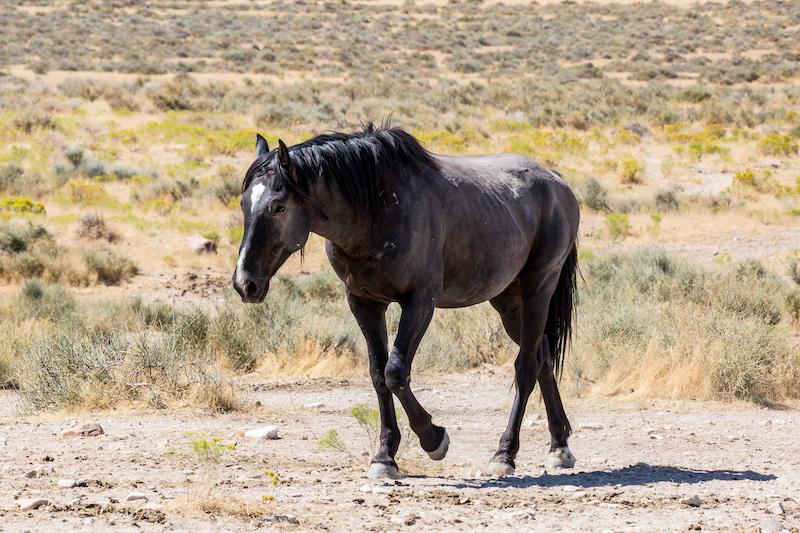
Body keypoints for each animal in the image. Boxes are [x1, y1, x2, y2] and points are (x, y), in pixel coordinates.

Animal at [234, 123, 580, 478]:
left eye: (278, 206)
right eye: (244, 203)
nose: (245, 283)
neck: (377, 209)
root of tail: (557, 182)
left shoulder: (420, 302)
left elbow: (396, 372)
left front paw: (434, 439)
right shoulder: (363, 303)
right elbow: (378, 374)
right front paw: (385, 457)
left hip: (538, 287)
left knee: (526, 366)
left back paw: (504, 455)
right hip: (509, 302)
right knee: (542, 358)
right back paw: (559, 447)